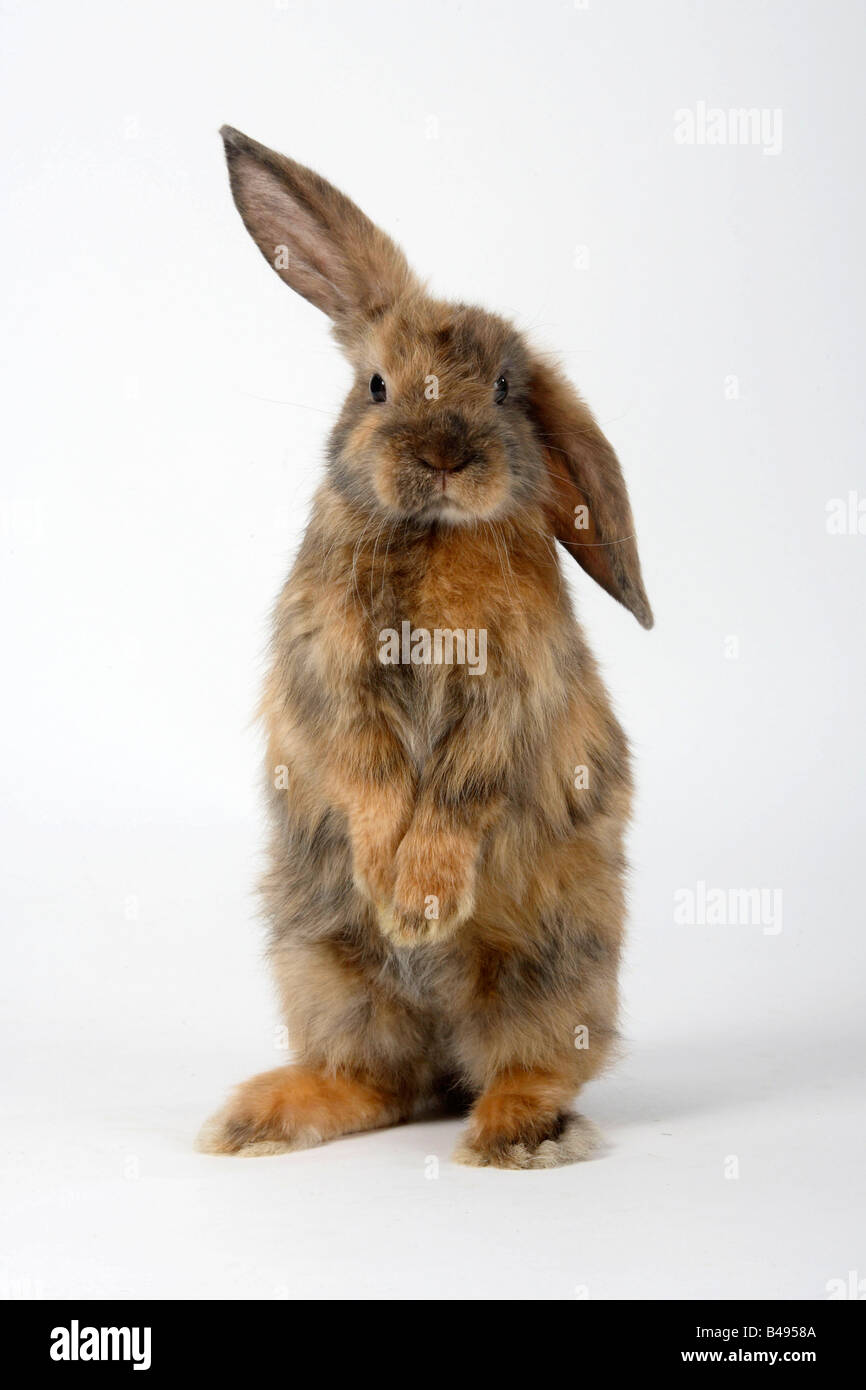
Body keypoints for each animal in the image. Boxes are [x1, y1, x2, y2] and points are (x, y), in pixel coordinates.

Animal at [197, 125, 653, 1170]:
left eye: (505, 389)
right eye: (376, 386)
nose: (445, 455)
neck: (434, 533)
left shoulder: (509, 694)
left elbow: (458, 790)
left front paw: (421, 901)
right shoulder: (332, 675)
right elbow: (368, 774)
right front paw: (391, 889)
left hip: (555, 966)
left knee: (533, 1063)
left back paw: (516, 1134)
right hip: (320, 965)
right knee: (379, 1082)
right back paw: (258, 1118)